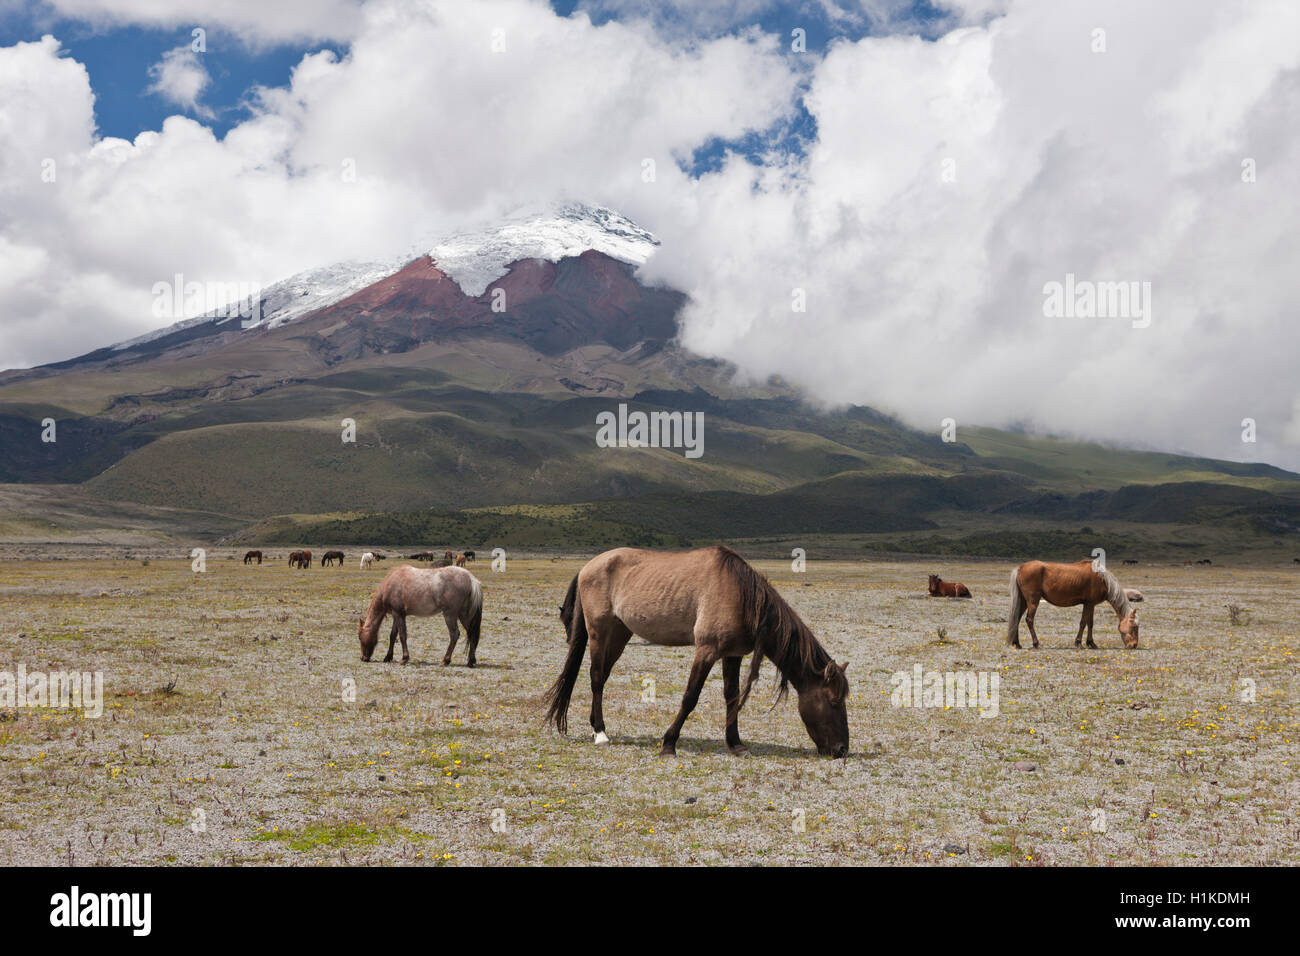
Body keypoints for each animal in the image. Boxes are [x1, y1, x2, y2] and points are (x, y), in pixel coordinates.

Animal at [358, 567, 486, 665]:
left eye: (359, 637)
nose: (363, 658)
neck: (390, 584)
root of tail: (471, 578)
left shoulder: (399, 614)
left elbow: (402, 635)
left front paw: (404, 658)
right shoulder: (397, 615)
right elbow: (393, 635)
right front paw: (388, 657)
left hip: (450, 614)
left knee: (455, 634)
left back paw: (446, 660)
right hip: (464, 615)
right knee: (472, 634)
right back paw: (471, 661)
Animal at [540, 548, 852, 759]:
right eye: (834, 701)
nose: (841, 749)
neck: (742, 595)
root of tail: (587, 566)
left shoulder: (732, 654)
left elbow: (731, 697)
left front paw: (736, 743)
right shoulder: (706, 650)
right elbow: (690, 697)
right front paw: (668, 743)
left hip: (620, 633)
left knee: (602, 677)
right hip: (599, 632)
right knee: (595, 677)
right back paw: (601, 733)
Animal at [1003, 561, 1138, 650]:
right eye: (1134, 626)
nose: (1134, 645)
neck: (1102, 579)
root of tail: (1021, 567)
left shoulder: (1091, 605)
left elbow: (1090, 623)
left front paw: (1091, 643)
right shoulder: (1088, 604)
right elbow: (1083, 623)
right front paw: (1079, 643)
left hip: (1024, 602)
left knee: (1017, 618)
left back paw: (1017, 644)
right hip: (1032, 601)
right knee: (1029, 620)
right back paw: (1036, 643)